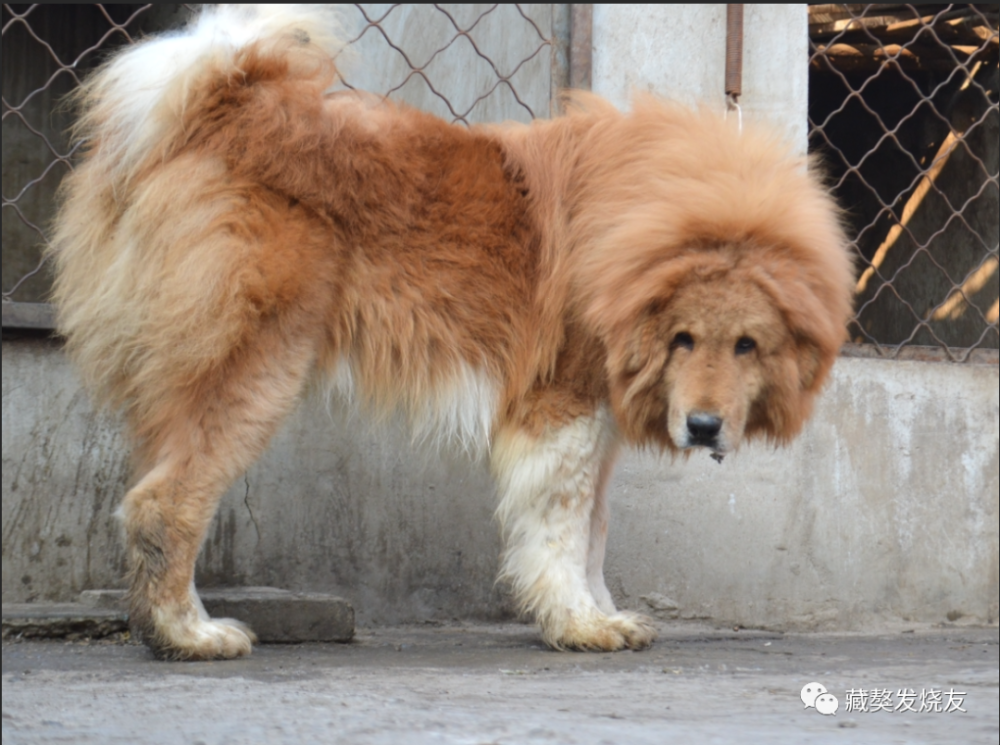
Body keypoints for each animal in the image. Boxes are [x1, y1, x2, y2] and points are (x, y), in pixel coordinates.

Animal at [50, 5, 852, 656]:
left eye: (747, 345)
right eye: (683, 338)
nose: (705, 426)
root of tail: (220, 99)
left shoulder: (596, 418)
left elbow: (593, 533)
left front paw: (603, 614)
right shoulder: (560, 409)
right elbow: (561, 533)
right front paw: (576, 623)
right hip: (256, 370)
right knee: (162, 505)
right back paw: (190, 634)